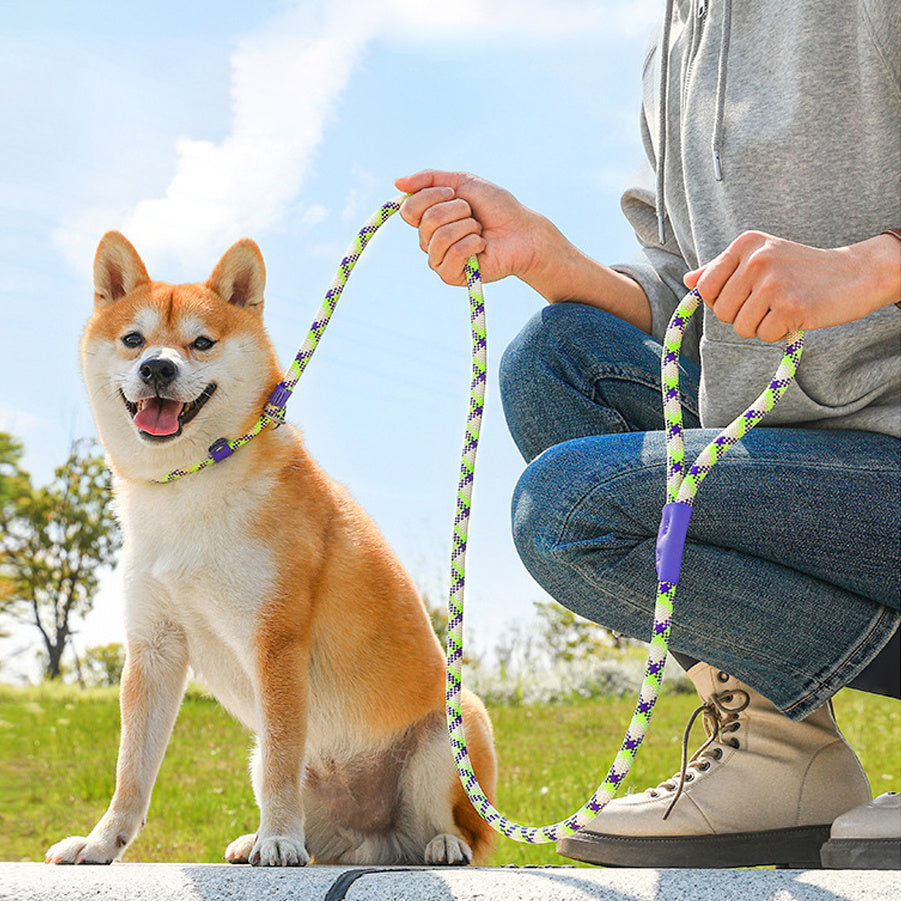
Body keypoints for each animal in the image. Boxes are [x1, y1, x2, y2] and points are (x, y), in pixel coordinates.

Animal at [45, 232, 496, 864]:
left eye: (201, 343)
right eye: (133, 340)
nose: (157, 367)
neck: (188, 487)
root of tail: (375, 843)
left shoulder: (275, 641)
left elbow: (285, 754)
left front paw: (280, 839)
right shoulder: (153, 649)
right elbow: (131, 771)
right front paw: (102, 842)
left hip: (452, 731)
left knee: (467, 829)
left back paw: (442, 843)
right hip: (265, 763)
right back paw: (257, 838)